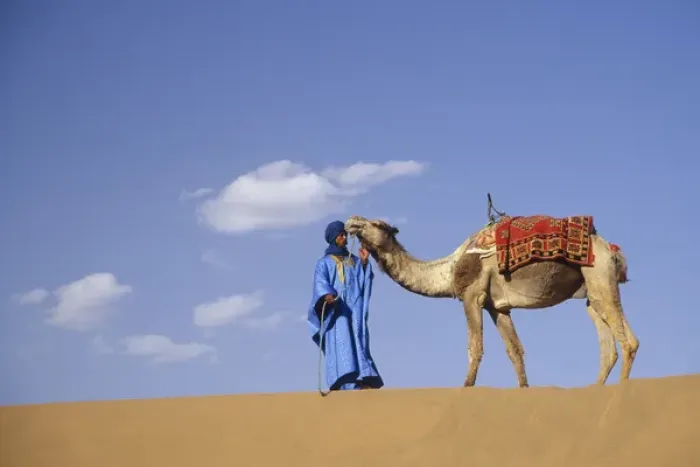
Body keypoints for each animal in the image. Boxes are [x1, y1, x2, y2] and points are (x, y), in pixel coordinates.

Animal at [344, 213, 639, 388]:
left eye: (376, 224)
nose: (351, 221)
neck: (449, 269)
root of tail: (611, 249)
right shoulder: (497, 307)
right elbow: (515, 352)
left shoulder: (472, 295)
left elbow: (474, 348)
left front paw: (465, 388)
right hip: (593, 289)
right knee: (611, 342)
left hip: (598, 273)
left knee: (626, 341)